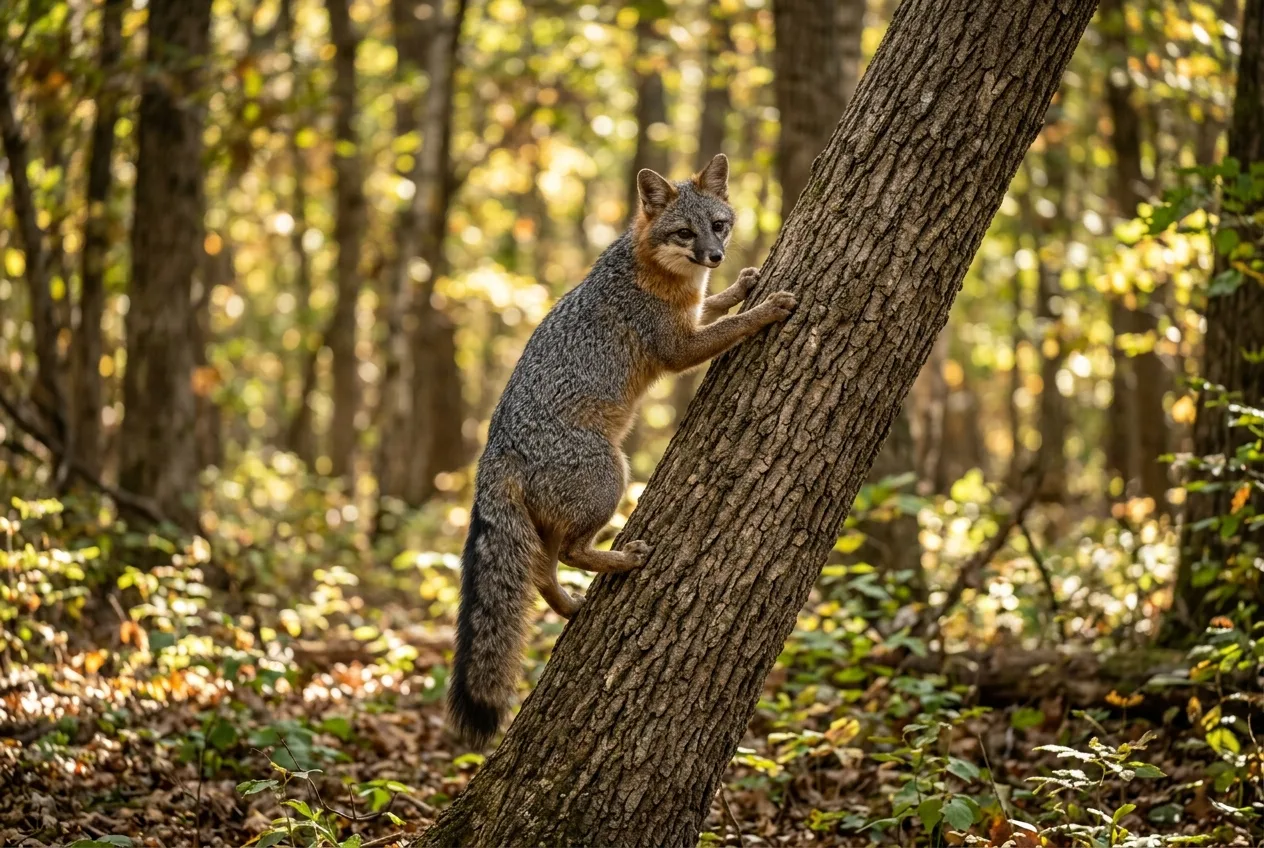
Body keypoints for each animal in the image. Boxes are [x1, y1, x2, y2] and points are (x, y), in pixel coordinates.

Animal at [447, 153, 797, 747]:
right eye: (685, 233)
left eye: (718, 225)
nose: (717, 257)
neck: (654, 269)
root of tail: (495, 449)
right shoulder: (678, 347)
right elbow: (729, 325)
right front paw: (765, 307)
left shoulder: (690, 316)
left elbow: (714, 306)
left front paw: (742, 285)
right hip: (612, 478)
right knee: (568, 553)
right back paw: (621, 560)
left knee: (540, 570)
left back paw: (570, 607)